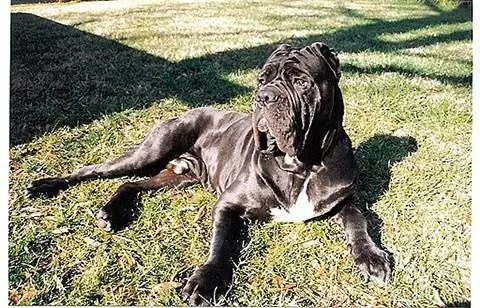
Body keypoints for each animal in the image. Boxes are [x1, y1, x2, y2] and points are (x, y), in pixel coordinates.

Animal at [28, 42, 392, 306]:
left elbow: (358, 219)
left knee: (133, 184)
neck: (300, 164)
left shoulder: (343, 199)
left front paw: (371, 256)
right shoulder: (228, 204)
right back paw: (46, 185)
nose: (264, 97)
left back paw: (112, 212)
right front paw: (207, 280)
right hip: (149, 152)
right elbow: (222, 242)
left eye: (301, 82)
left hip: (176, 177)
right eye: (262, 80)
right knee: (94, 170)